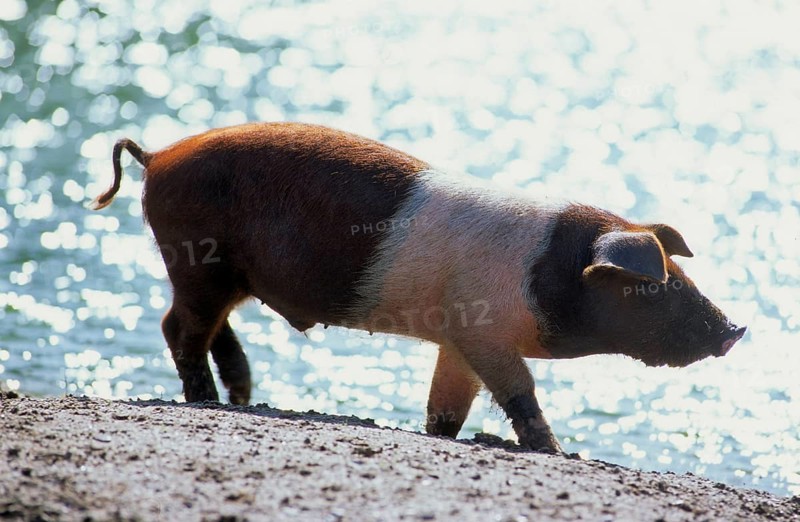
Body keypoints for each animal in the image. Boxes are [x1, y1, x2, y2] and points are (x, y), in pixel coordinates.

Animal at [92, 122, 746, 453]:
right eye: (654, 286)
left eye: (681, 275)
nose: (735, 329)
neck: (545, 275)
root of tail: (158, 156)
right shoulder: (484, 333)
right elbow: (520, 392)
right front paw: (559, 452)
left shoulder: (456, 343)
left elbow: (448, 407)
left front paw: (442, 435)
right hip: (196, 260)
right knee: (178, 328)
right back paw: (206, 400)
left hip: (224, 275)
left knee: (214, 330)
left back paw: (241, 395)